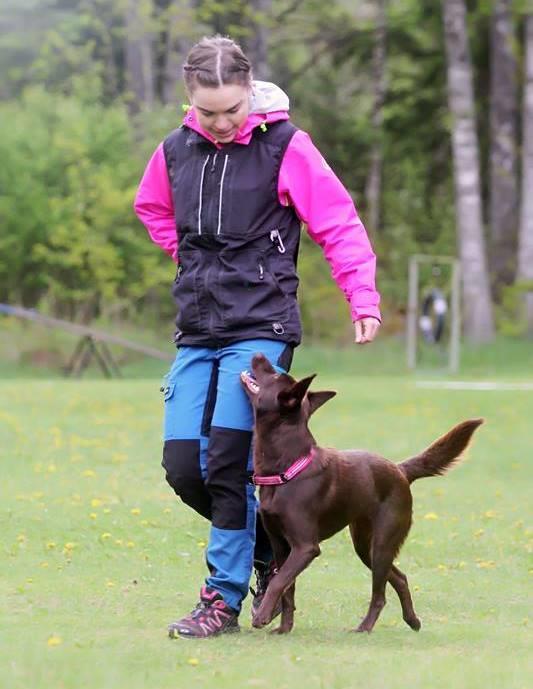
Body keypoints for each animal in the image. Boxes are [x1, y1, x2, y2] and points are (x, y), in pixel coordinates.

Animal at [241, 354, 482, 636]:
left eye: (274, 375)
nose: (258, 355)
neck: (287, 468)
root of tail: (400, 470)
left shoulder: (305, 547)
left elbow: (279, 582)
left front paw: (262, 617)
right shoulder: (281, 545)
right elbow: (287, 588)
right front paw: (284, 628)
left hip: (382, 543)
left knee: (380, 594)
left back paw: (365, 627)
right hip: (365, 545)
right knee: (400, 578)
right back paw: (412, 620)